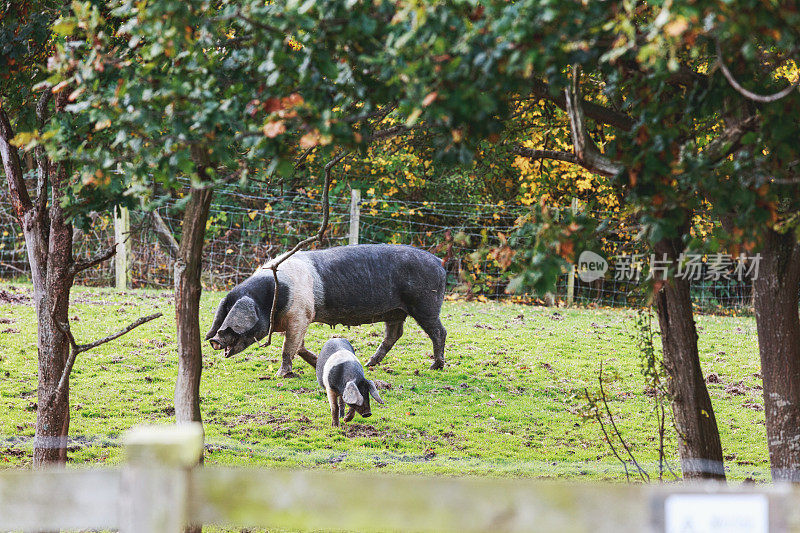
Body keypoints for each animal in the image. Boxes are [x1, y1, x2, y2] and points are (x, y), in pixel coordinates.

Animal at [205, 243, 450, 376]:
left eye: (232, 322)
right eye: (223, 314)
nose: (214, 340)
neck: (276, 297)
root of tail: (439, 263)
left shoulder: (300, 315)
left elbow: (288, 348)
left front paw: (280, 375)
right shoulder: (298, 319)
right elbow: (299, 347)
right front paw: (317, 364)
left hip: (425, 304)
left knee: (439, 331)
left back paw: (434, 367)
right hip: (395, 311)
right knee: (394, 335)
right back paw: (369, 363)